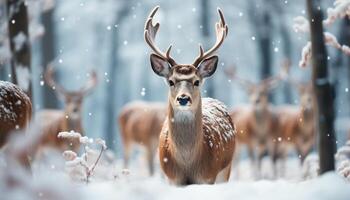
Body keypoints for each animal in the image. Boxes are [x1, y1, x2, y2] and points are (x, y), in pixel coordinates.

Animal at [144, 5, 237, 185]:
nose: (183, 98)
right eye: (171, 81)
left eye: (196, 81)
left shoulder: (209, 177)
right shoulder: (172, 179)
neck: (188, 167)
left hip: (226, 168)